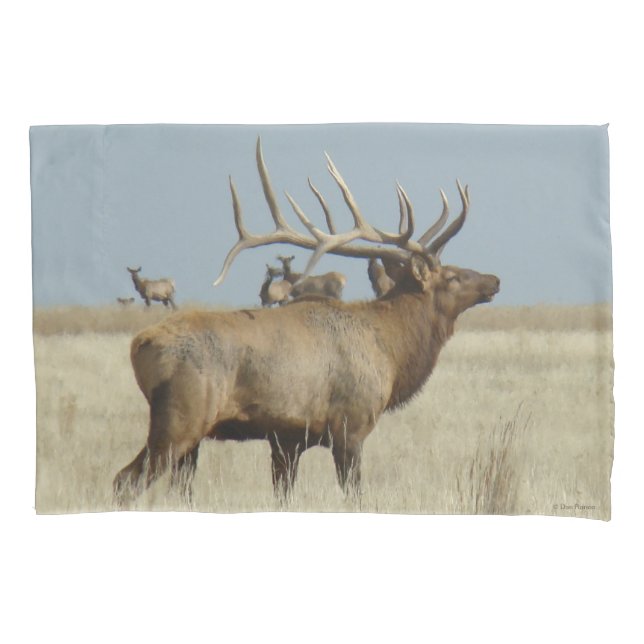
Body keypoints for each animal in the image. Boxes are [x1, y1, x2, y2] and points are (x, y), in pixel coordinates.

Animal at [113, 138, 500, 506]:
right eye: (452, 276)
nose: (494, 280)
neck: (391, 351)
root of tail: (140, 345)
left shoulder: (287, 439)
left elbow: (283, 494)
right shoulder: (350, 425)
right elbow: (354, 495)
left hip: (189, 435)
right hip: (181, 418)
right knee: (125, 480)